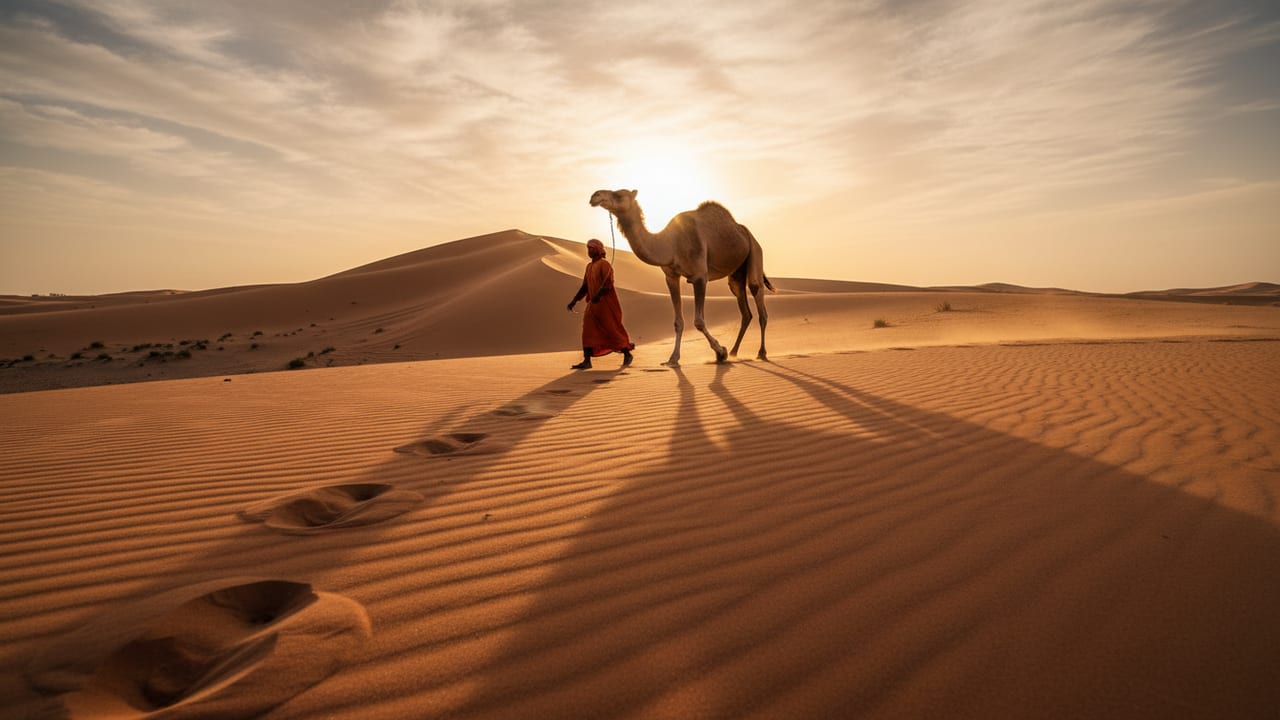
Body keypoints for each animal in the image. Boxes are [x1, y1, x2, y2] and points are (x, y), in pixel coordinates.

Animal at [589, 188, 774, 366]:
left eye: (619, 194)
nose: (595, 196)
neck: (670, 244)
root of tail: (747, 233)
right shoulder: (671, 276)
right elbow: (678, 321)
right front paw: (673, 358)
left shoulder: (700, 276)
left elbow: (699, 321)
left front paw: (721, 352)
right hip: (736, 273)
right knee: (745, 309)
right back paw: (735, 352)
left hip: (755, 252)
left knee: (758, 297)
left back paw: (761, 353)